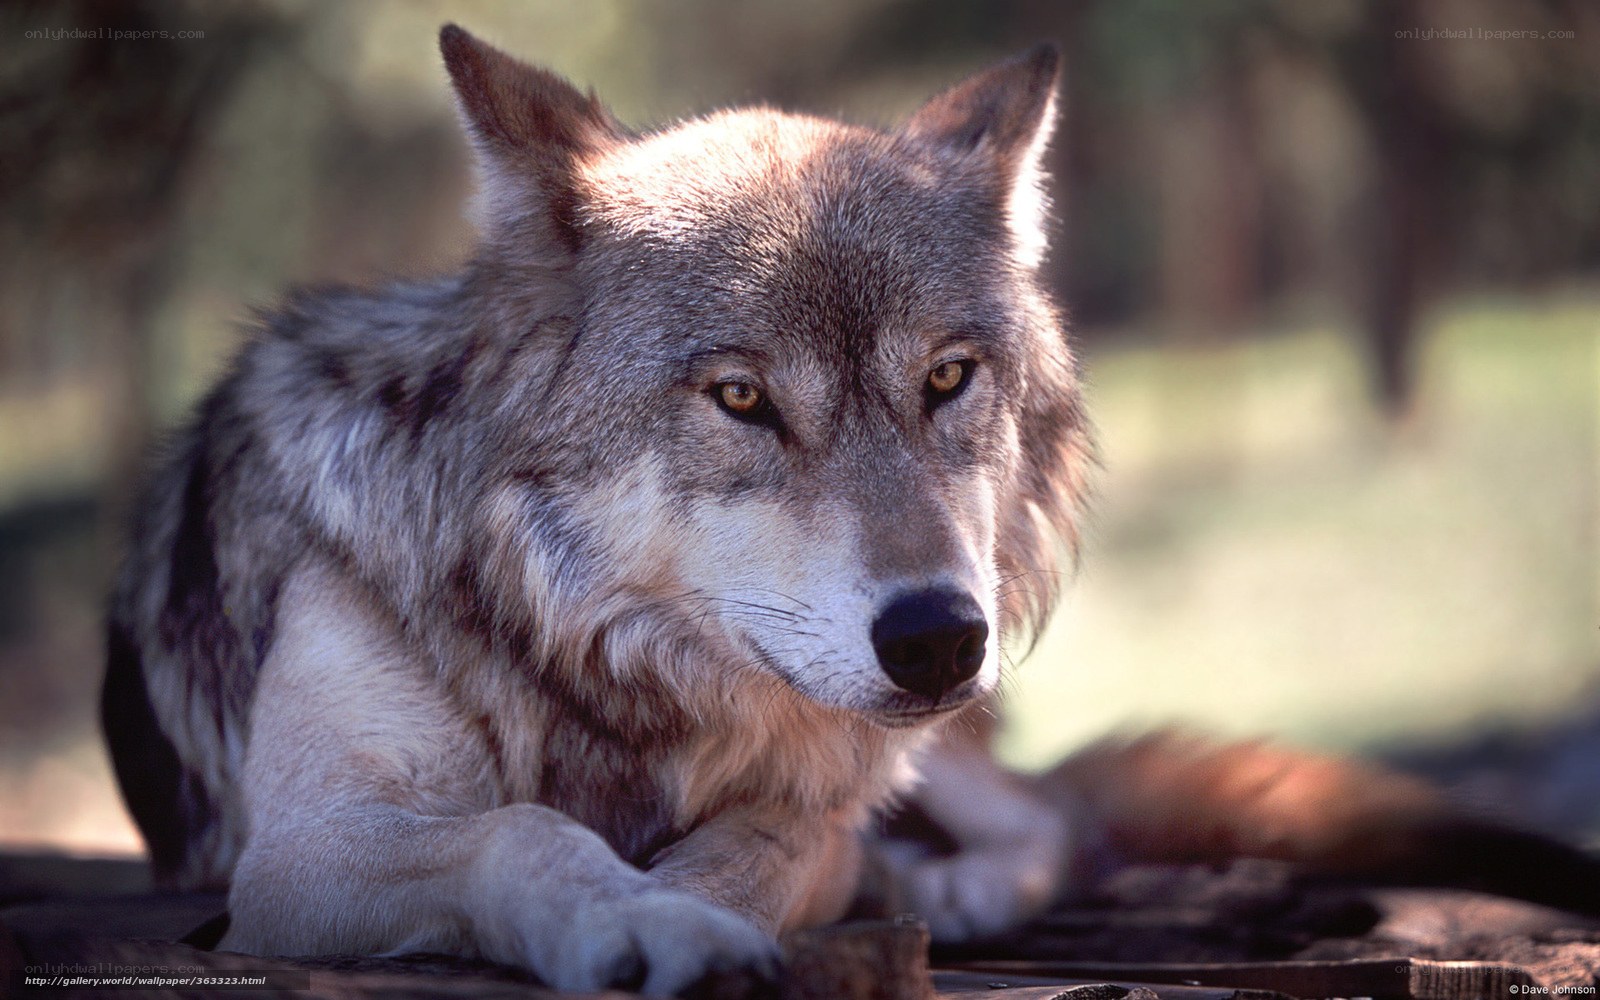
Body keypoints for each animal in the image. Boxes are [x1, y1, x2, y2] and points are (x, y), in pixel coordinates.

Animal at [103, 24, 1600, 997]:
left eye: (945, 378)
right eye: (742, 398)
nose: (937, 637)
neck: (611, 675)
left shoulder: (815, 800)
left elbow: (756, 846)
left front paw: (702, 916)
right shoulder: (297, 858)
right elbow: (521, 830)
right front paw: (648, 924)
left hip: (947, 749)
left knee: (1050, 820)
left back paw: (940, 886)